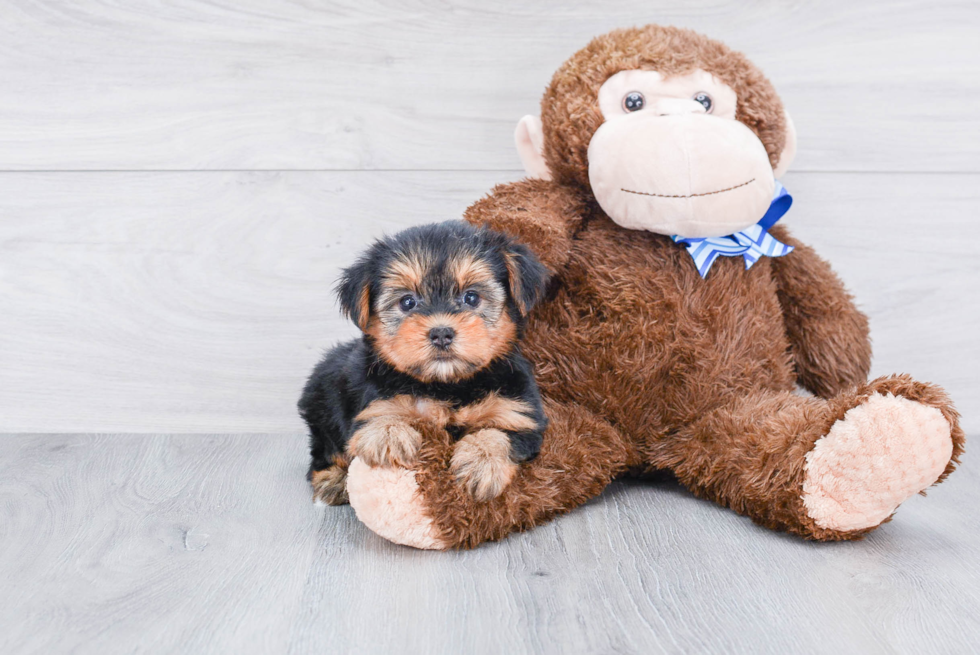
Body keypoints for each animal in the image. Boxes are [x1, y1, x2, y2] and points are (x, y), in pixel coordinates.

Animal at [298, 223, 552, 504]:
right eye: (407, 302)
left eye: (472, 298)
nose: (441, 333)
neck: (447, 385)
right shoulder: (376, 401)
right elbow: (381, 413)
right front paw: (389, 433)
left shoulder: (517, 412)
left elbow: (500, 433)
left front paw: (481, 461)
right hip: (322, 407)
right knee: (323, 451)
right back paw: (332, 479)